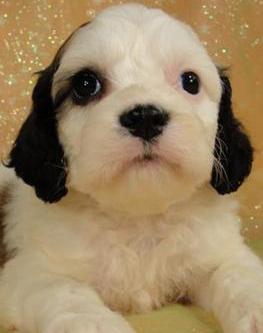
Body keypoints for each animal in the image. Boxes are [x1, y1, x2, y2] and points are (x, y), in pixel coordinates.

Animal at [0, 3, 263, 332]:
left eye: (190, 82)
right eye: (85, 85)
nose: (146, 117)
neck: (138, 218)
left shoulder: (218, 253)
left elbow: (239, 276)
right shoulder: (28, 271)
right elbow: (66, 293)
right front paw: (98, 324)